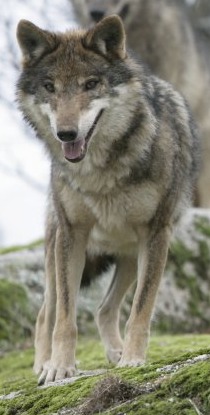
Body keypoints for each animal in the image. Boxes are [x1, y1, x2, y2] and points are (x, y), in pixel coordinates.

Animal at [16, 16, 200, 386]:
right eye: (49, 87)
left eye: (90, 84)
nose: (67, 134)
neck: (100, 172)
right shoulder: (72, 235)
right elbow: (66, 318)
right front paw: (60, 368)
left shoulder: (156, 234)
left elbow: (141, 310)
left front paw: (132, 360)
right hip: (57, 250)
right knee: (46, 313)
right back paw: (42, 366)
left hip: (130, 255)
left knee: (104, 309)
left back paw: (116, 353)